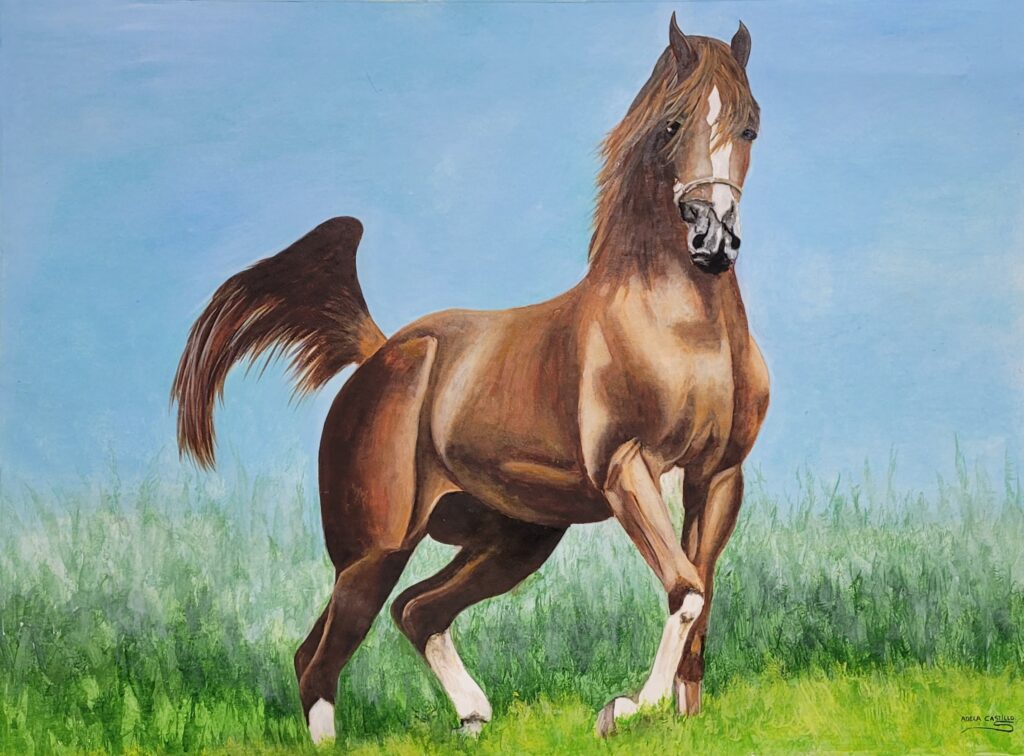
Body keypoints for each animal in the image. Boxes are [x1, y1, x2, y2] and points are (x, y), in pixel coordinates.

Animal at [171, 13, 768, 742]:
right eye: (673, 124)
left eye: (749, 126)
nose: (714, 242)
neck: (680, 328)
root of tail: (379, 354)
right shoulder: (628, 469)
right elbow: (684, 590)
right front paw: (626, 708)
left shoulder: (718, 476)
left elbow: (701, 600)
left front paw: (682, 716)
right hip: (372, 550)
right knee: (319, 654)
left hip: (516, 538)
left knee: (415, 610)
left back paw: (475, 716)